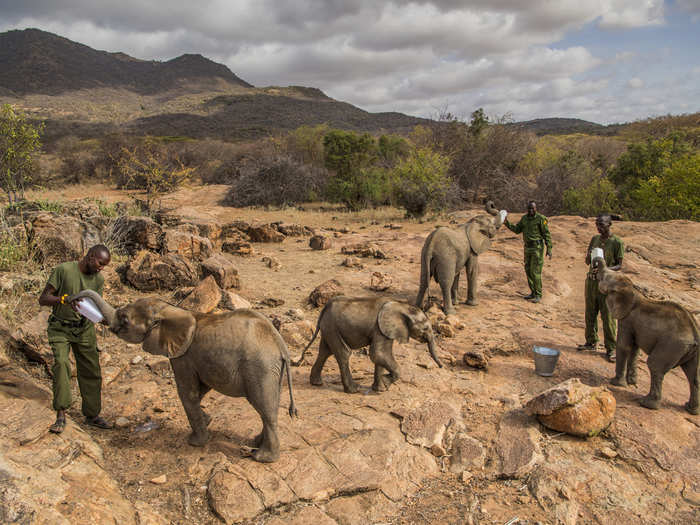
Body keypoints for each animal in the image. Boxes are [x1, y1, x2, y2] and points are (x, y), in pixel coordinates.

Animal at [290, 294, 442, 392]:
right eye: (425, 328)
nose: (441, 366)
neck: (401, 305)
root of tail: (324, 308)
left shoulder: (384, 330)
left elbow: (379, 356)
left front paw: (380, 389)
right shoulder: (380, 328)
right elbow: (377, 354)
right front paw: (386, 383)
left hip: (329, 327)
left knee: (325, 352)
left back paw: (316, 383)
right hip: (332, 327)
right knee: (343, 353)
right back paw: (353, 390)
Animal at [592, 258, 696, 414]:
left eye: (604, 278)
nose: (594, 265)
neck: (633, 290)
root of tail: (695, 334)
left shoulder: (627, 319)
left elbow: (624, 346)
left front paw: (616, 383)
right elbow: (634, 349)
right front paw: (631, 382)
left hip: (672, 344)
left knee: (655, 365)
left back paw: (646, 403)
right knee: (694, 377)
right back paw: (689, 408)